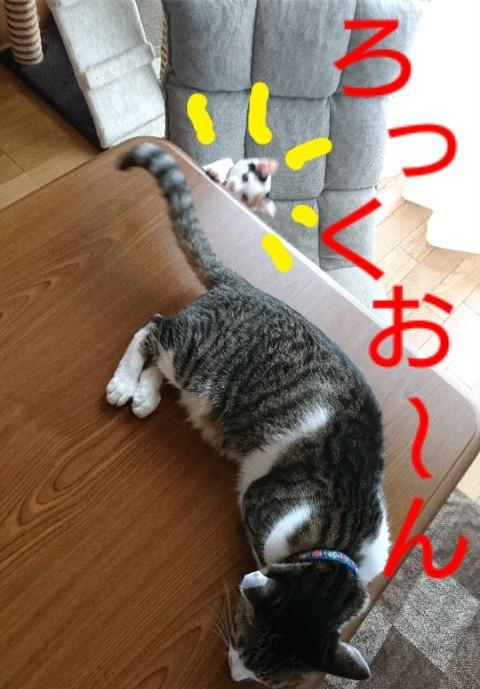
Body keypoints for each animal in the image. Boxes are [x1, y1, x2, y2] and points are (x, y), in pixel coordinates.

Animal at [106, 143, 390, 688]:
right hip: (202, 361)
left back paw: (145, 395)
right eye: (241, 641)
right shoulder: (262, 508)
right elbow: (259, 554)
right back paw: (123, 384)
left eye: (270, 680)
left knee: (164, 366)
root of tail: (243, 288)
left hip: (199, 377)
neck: (339, 543)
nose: (236, 676)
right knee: (153, 328)